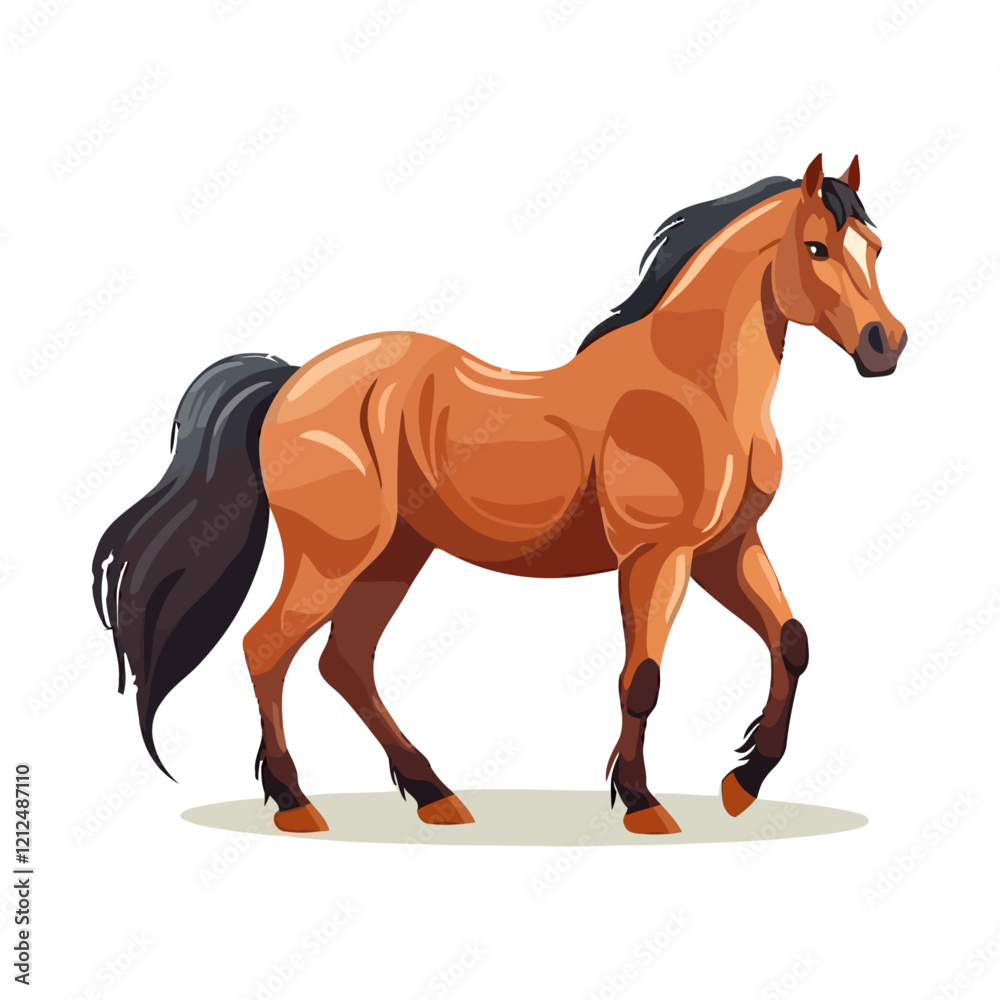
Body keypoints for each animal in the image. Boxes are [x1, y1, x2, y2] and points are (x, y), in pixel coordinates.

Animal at [93, 154, 906, 835]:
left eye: (874, 247)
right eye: (816, 248)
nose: (885, 345)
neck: (693, 385)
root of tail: (291, 379)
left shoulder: (724, 549)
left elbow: (792, 642)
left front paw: (745, 782)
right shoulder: (656, 556)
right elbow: (641, 678)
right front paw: (642, 803)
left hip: (396, 557)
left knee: (344, 663)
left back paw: (434, 795)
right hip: (335, 556)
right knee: (268, 649)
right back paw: (297, 804)